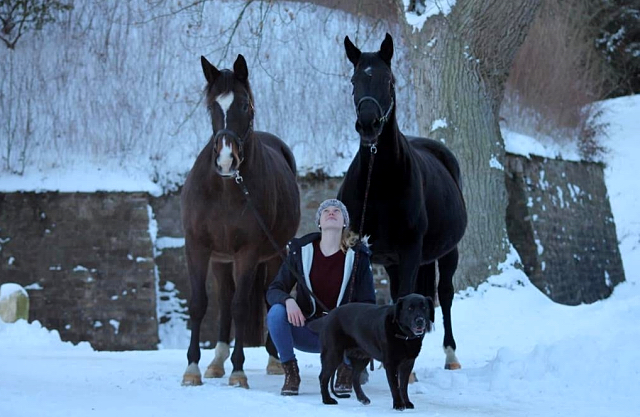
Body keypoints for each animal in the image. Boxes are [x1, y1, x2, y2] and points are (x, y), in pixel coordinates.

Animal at [180, 54, 300, 386]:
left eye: (245, 105)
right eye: (212, 106)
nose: (225, 160)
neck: (226, 188)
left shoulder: (248, 252)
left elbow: (241, 307)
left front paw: (238, 371)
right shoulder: (197, 247)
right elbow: (200, 304)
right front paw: (192, 369)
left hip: (274, 255)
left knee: (266, 297)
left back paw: (274, 359)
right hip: (222, 260)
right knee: (223, 300)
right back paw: (216, 361)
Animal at [308, 292, 436, 410]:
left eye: (424, 307)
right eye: (410, 308)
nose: (420, 320)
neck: (404, 335)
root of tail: (328, 316)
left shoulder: (408, 363)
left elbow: (404, 386)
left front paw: (407, 403)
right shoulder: (391, 363)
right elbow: (395, 386)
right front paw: (399, 405)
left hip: (362, 357)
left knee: (355, 378)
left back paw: (363, 399)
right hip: (333, 354)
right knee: (323, 377)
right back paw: (327, 400)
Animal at [338, 34, 468, 368]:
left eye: (389, 80)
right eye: (354, 80)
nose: (368, 124)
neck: (379, 179)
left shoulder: (411, 250)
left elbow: (412, 298)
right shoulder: (362, 251)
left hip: (447, 253)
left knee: (444, 294)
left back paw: (451, 354)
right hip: (393, 261)